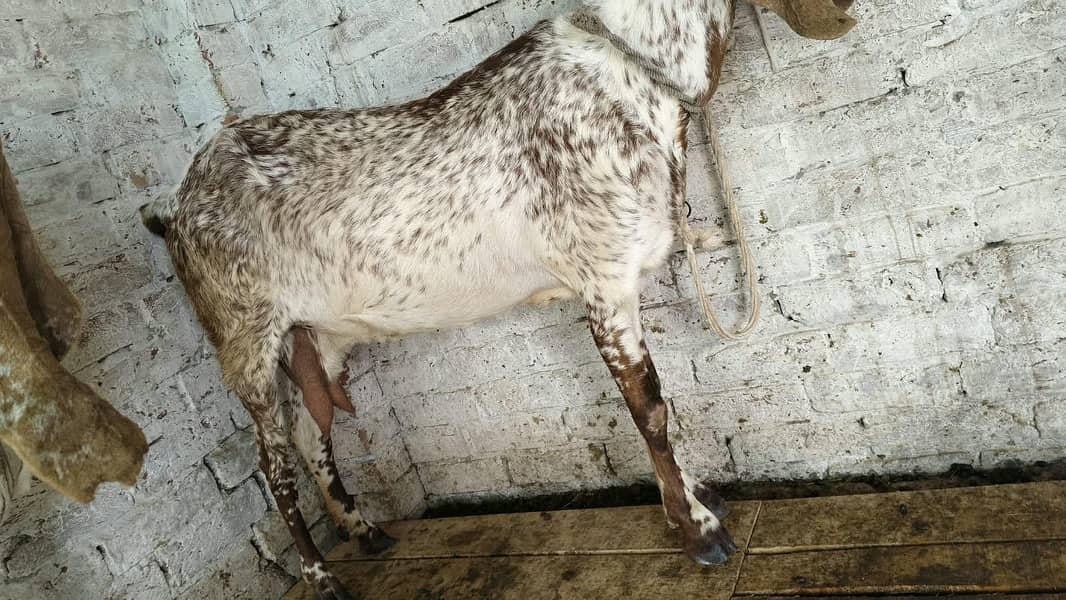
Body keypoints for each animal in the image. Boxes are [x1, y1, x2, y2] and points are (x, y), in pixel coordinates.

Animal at [140, 1, 854, 597]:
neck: (635, 73)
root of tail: (171, 210)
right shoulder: (603, 283)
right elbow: (650, 409)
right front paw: (698, 527)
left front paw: (698, 498)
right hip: (245, 340)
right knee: (273, 462)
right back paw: (322, 577)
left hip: (321, 336)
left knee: (312, 435)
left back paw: (365, 531)